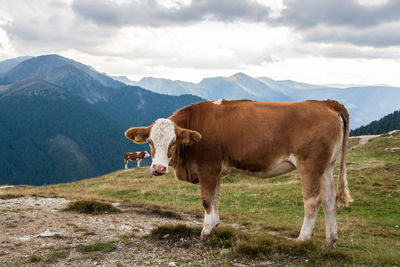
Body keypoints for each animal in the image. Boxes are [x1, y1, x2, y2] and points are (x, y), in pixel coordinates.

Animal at [125, 99, 354, 248]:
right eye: (150, 141)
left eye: (173, 142)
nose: (158, 168)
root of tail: (324, 103)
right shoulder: (216, 171)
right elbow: (215, 197)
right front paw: (215, 225)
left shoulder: (208, 167)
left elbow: (206, 200)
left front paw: (205, 232)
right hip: (327, 167)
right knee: (330, 199)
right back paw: (330, 240)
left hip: (311, 165)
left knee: (313, 200)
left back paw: (302, 239)